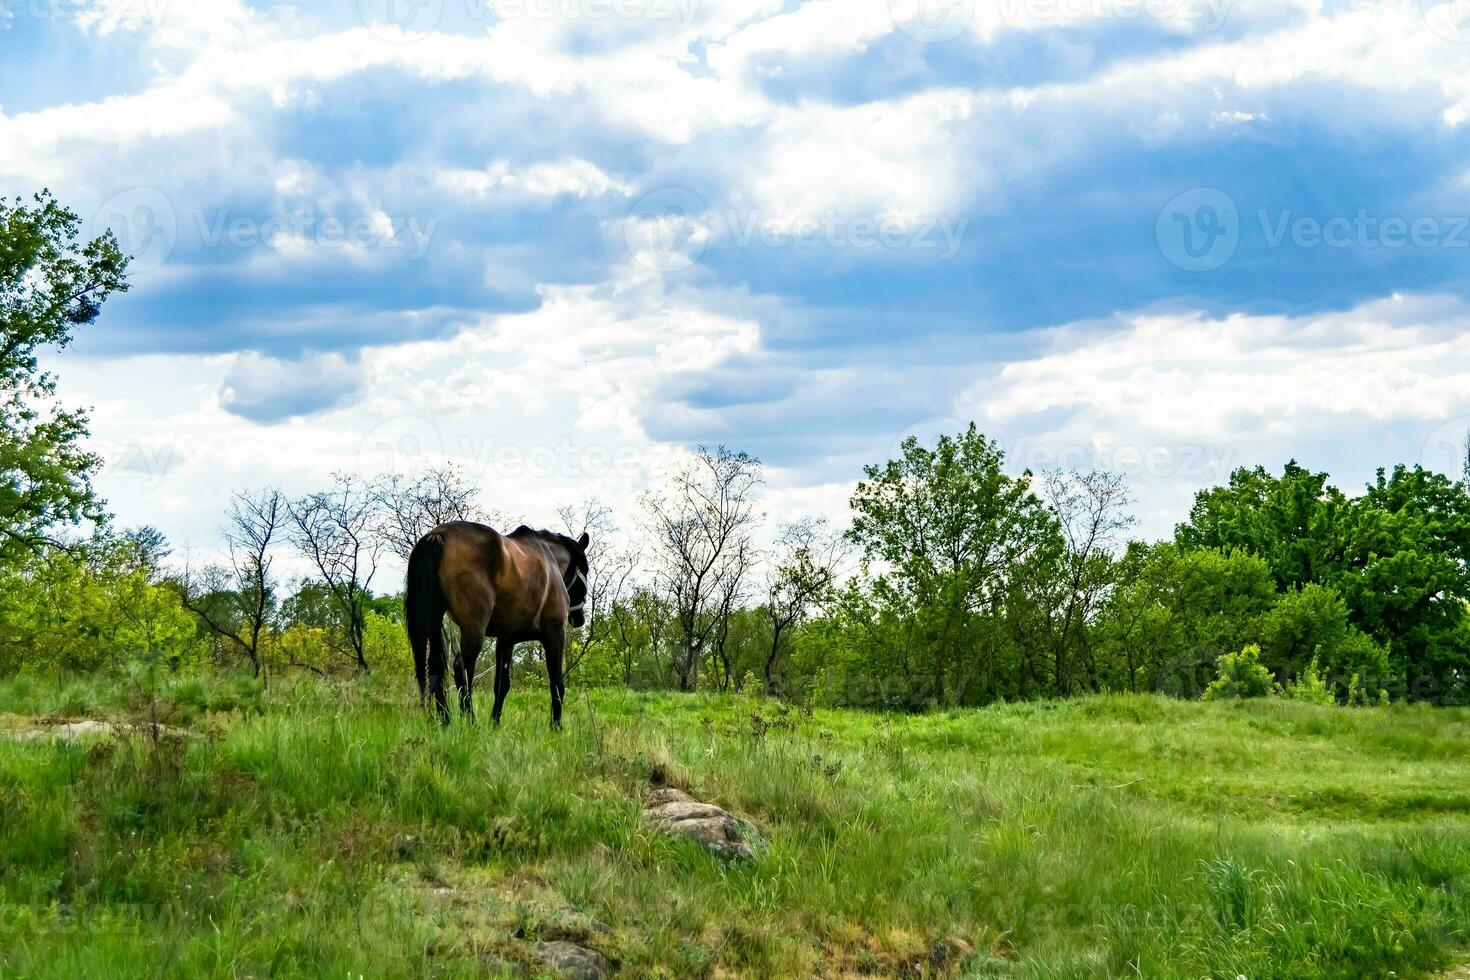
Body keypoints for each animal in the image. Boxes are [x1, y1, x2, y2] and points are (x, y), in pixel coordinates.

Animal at [405, 520, 588, 728]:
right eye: (586, 570)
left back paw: (446, 721)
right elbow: (557, 682)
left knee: (436, 666)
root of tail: (438, 535)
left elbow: (502, 684)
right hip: (474, 628)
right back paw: (470, 720)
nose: (579, 619)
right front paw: (556, 726)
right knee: (462, 667)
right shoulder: (555, 633)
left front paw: (495, 722)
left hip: (435, 619)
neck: (550, 560)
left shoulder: (506, 638)